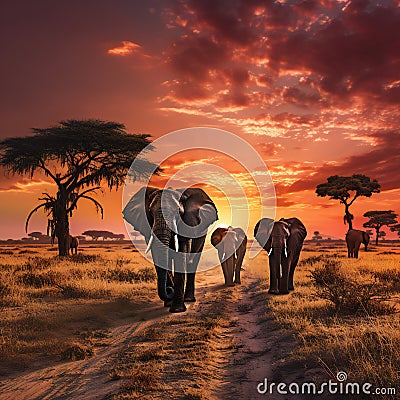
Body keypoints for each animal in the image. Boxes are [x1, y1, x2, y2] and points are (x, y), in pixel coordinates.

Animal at [122, 186, 217, 314]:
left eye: (178, 213)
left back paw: (189, 299)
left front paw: (177, 309)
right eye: (150, 212)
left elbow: (183, 248)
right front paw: (168, 303)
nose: (169, 289)